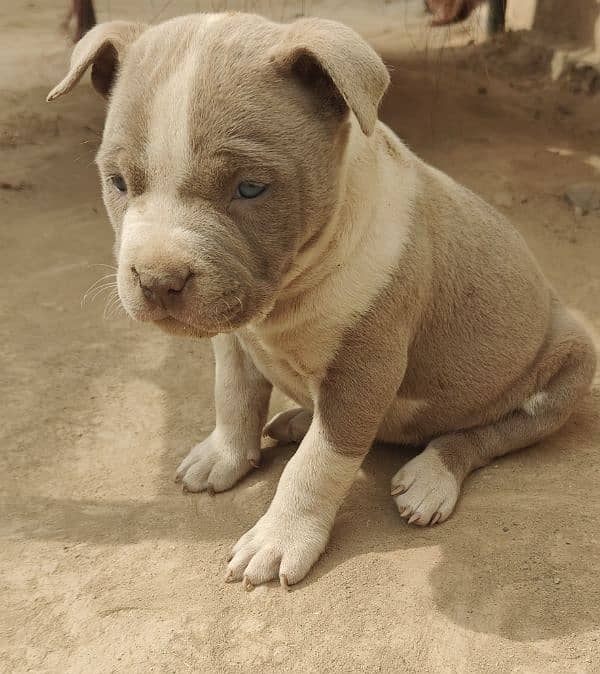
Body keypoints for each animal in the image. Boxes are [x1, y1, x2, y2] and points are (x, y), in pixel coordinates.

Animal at [50, 13, 596, 584]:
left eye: (251, 189)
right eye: (117, 182)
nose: (157, 280)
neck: (290, 292)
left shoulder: (365, 371)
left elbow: (318, 463)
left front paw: (279, 538)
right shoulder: (236, 340)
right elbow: (233, 397)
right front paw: (224, 455)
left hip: (568, 366)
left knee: (483, 435)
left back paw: (431, 477)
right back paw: (297, 419)